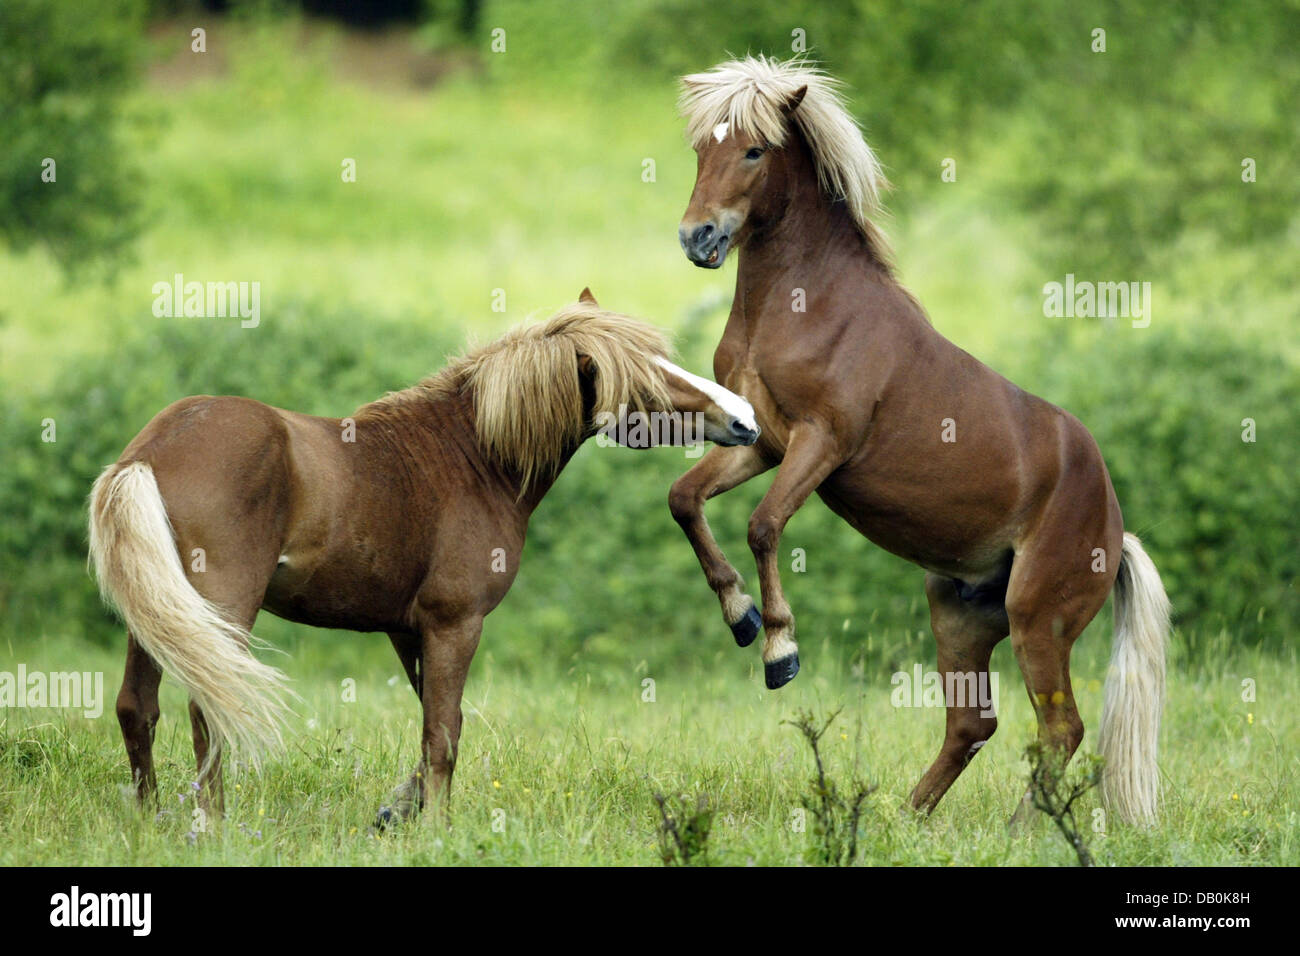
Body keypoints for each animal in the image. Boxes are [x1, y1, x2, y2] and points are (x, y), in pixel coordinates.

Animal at [91, 290, 759, 822]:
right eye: (646, 380)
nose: (745, 419)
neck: (473, 456)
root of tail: (148, 453)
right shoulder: (454, 624)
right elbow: (443, 734)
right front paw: (436, 829)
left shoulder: (407, 630)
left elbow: (440, 724)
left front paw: (398, 812)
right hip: (221, 611)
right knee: (209, 710)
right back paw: (212, 825)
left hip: (160, 617)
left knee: (137, 708)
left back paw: (150, 821)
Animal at [670, 57, 1170, 822]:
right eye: (701, 147)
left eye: (754, 150)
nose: (697, 238)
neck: (803, 304)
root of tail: (1115, 533)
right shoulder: (760, 442)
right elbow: (685, 501)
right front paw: (742, 619)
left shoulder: (821, 443)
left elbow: (763, 525)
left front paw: (780, 651)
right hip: (959, 614)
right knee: (973, 724)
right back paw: (909, 819)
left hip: (1038, 619)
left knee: (1061, 728)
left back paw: (1020, 830)